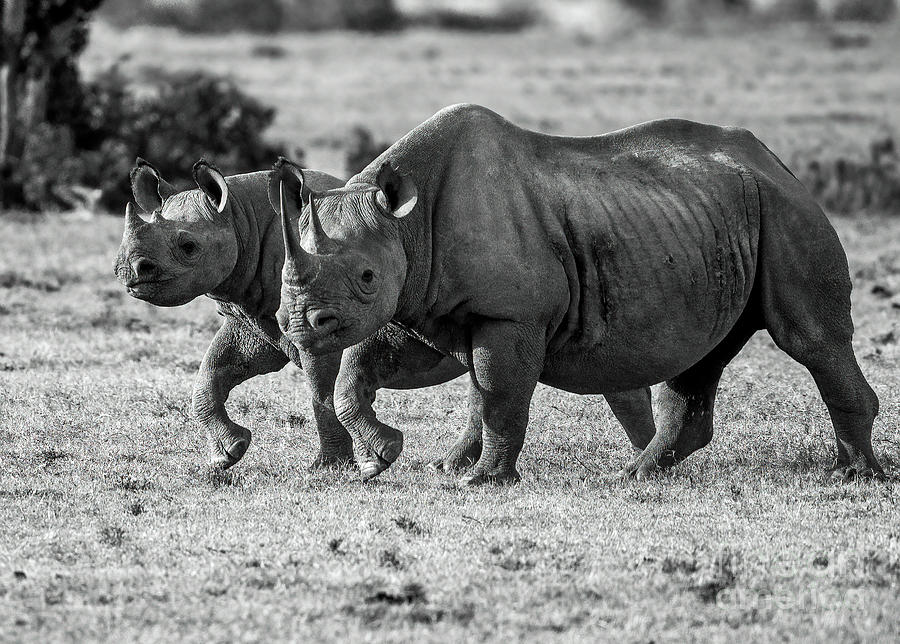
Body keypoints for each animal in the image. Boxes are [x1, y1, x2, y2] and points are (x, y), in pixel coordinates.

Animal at [112, 160, 656, 472]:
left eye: (188, 246)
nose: (129, 272)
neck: (241, 219)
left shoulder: (319, 324)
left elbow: (320, 390)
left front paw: (329, 468)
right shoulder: (257, 319)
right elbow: (212, 375)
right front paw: (227, 453)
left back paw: (643, 458)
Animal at [270, 103, 884, 484]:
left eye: (366, 278)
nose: (298, 325)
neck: (405, 226)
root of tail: (775, 161)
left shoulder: (509, 313)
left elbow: (498, 391)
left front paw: (479, 481)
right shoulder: (427, 305)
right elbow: (365, 375)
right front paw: (390, 459)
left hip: (786, 208)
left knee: (810, 339)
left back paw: (854, 477)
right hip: (717, 217)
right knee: (704, 355)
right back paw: (638, 474)